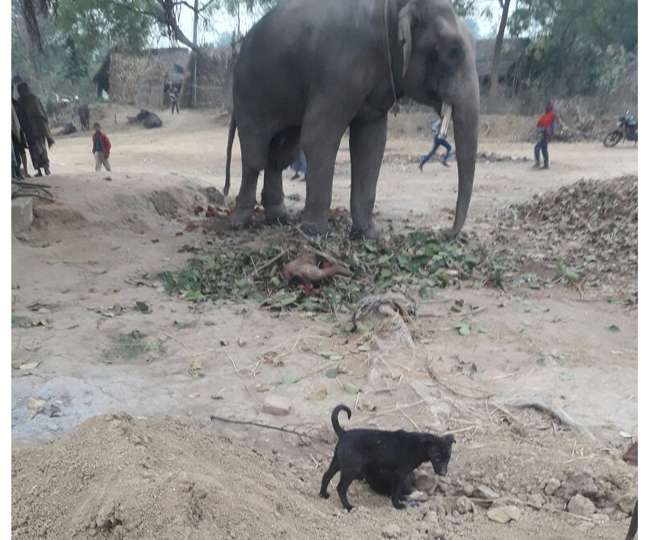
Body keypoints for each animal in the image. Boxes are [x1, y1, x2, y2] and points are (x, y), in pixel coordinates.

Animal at [223, 0, 476, 238]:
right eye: (453, 51)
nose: (446, 233)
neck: (391, 8)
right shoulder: (339, 69)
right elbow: (319, 137)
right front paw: (316, 233)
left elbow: (371, 144)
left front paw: (369, 234)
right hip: (249, 94)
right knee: (255, 156)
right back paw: (239, 223)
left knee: (280, 155)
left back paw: (278, 218)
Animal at [318, 404, 450, 510]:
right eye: (437, 457)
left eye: (448, 458)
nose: (443, 473)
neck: (417, 445)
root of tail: (343, 433)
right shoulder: (400, 474)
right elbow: (396, 491)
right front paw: (398, 505)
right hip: (351, 469)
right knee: (340, 488)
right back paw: (348, 507)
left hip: (337, 463)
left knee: (326, 476)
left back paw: (323, 495)